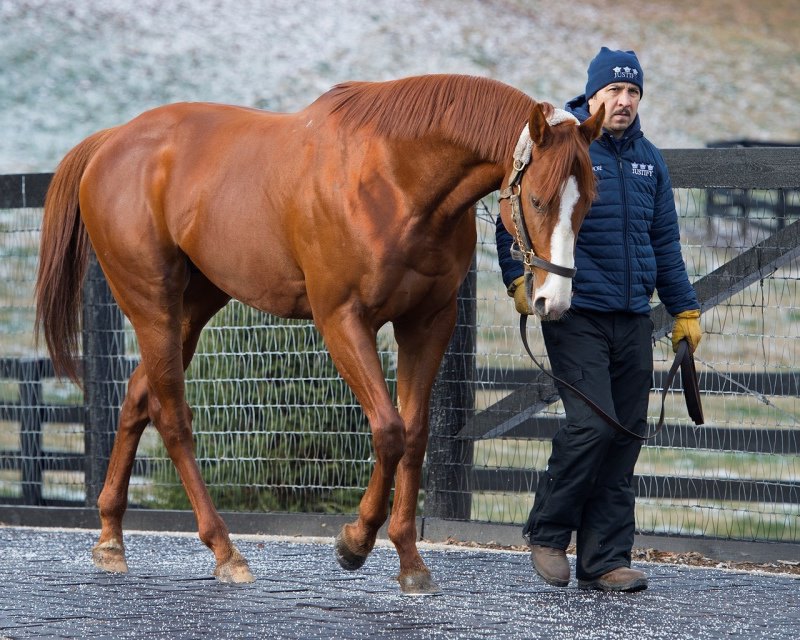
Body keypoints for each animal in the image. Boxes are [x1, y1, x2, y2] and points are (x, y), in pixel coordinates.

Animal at [35, 74, 603, 595]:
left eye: (588, 202)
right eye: (537, 198)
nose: (555, 300)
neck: (395, 180)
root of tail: (111, 142)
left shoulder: (428, 323)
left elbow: (415, 434)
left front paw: (409, 559)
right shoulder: (342, 320)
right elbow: (389, 431)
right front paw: (355, 541)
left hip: (193, 307)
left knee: (137, 397)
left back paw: (110, 537)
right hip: (152, 305)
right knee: (171, 416)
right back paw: (225, 550)